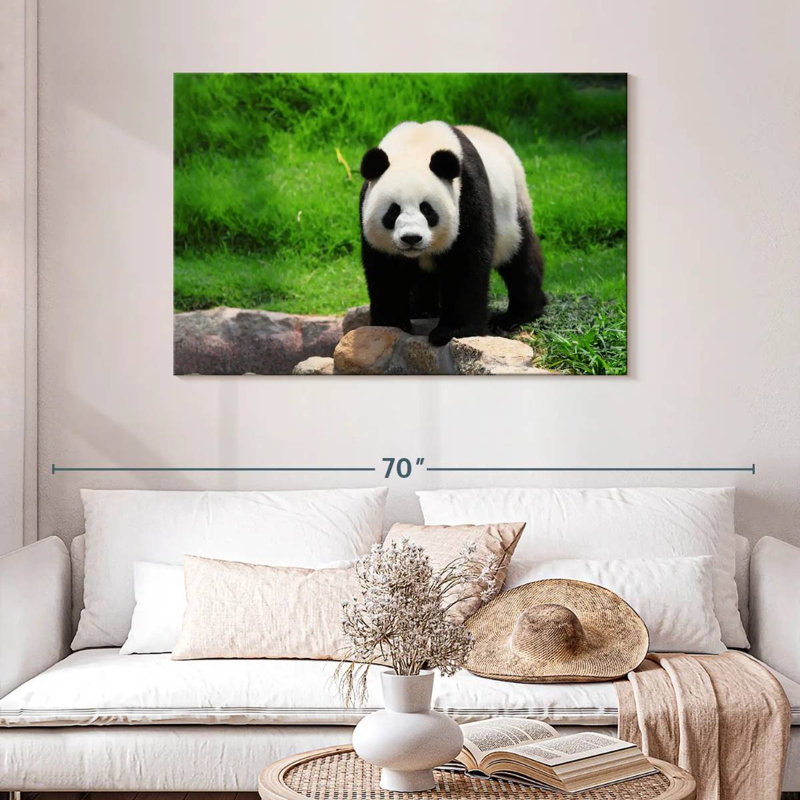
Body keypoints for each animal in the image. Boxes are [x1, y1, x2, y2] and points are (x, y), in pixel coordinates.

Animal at [359, 120, 546, 346]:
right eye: (393, 211)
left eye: (427, 209)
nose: (411, 238)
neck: (416, 145)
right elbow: (387, 269)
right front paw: (391, 322)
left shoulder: (468, 194)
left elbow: (464, 262)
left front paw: (452, 331)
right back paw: (422, 309)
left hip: (513, 211)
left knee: (520, 259)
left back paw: (518, 314)